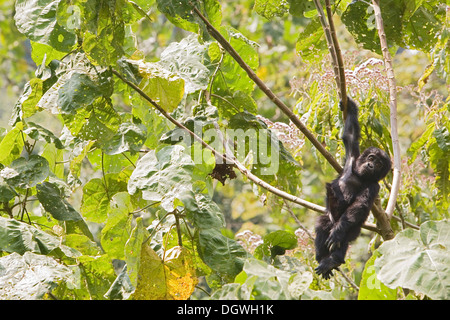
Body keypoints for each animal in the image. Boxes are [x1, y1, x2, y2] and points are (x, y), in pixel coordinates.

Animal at [314, 99, 392, 278]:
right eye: (371, 157)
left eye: (379, 164)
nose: (371, 165)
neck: (360, 176)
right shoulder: (352, 157)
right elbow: (349, 134)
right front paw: (349, 105)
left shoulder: (374, 186)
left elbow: (359, 205)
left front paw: (338, 232)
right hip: (330, 218)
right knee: (322, 223)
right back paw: (322, 257)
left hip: (354, 228)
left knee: (345, 233)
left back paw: (334, 260)